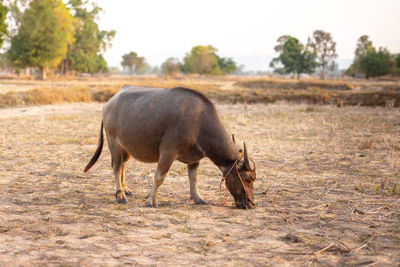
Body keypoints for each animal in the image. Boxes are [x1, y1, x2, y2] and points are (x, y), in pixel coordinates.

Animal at [86, 86, 258, 209]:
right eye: (249, 178)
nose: (250, 203)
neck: (199, 123)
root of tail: (109, 103)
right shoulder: (168, 152)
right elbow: (159, 177)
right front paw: (151, 200)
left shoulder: (194, 158)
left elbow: (193, 178)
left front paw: (198, 198)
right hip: (113, 143)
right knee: (116, 167)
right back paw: (120, 195)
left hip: (126, 148)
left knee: (123, 165)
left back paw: (126, 189)